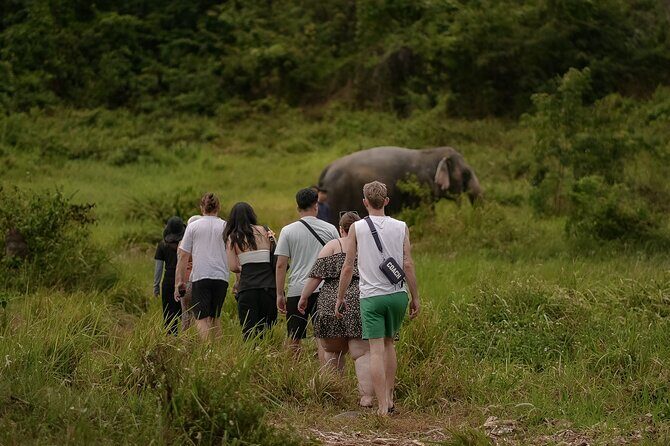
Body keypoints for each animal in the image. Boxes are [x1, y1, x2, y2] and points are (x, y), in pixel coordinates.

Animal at [317, 146, 482, 225]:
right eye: (466, 174)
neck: (430, 153)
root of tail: (326, 170)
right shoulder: (421, 186)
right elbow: (427, 212)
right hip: (337, 198)